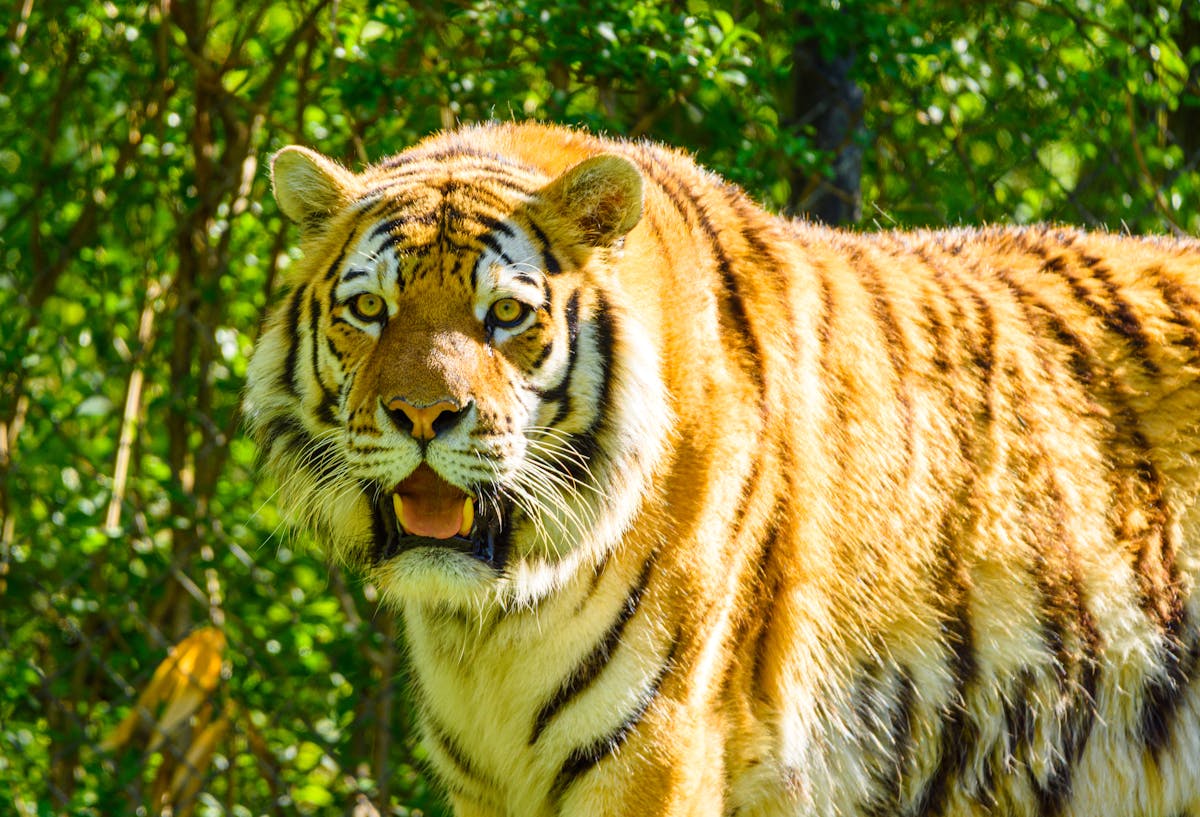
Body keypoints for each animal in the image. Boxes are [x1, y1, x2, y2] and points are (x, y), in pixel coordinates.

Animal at [243, 120, 1200, 817]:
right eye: (370, 309)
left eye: (505, 315)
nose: (423, 416)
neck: (488, 628)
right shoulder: (484, 781)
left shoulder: (653, 751)